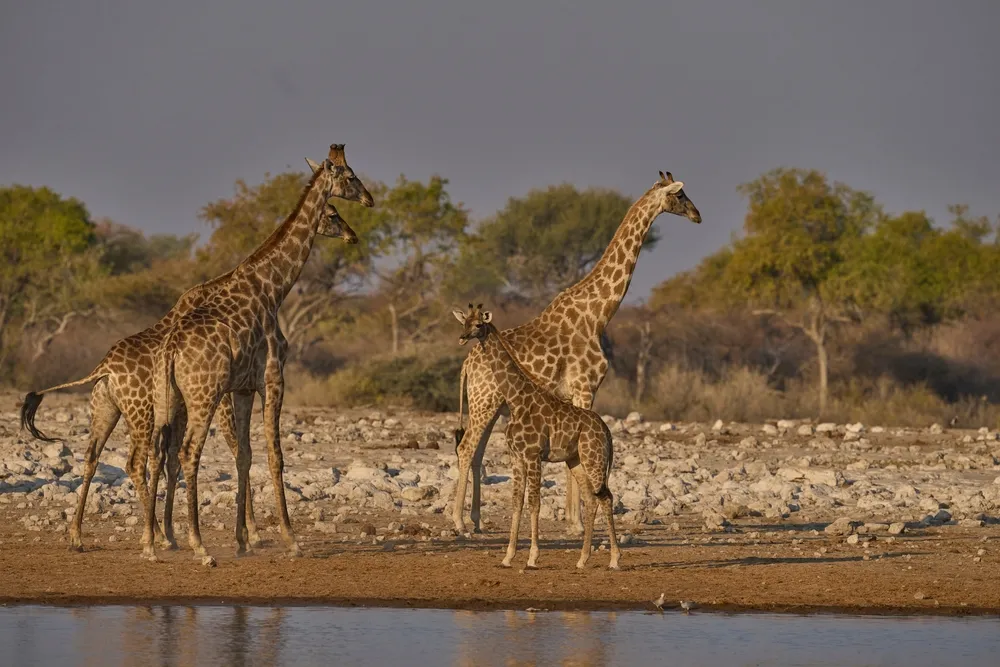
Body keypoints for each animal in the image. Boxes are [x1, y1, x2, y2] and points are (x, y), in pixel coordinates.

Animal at [19, 182, 361, 555]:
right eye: (333, 213)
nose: (351, 234)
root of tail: (103, 369)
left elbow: (183, 458)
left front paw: (200, 533)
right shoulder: (227, 394)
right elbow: (232, 451)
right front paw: (249, 534)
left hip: (106, 410)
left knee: (95, 456)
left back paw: (80, 536)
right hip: (141, 413)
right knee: (136, 462)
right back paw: (154, 535)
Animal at [148, 143, 373, 563]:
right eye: (350, 177)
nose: (369, 201)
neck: (274, 287)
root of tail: (169, 348)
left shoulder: (241, 387)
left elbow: (244, 455)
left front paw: (243, 539)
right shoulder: (272, 378)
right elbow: (274, 455)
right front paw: (290, 538)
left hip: (169, 398)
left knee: (160, 451)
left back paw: (152, 542)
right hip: (203, 396)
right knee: (187, 452)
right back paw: (198, 545)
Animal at [452, 171, 701, 535]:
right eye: (681, 195)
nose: (698, 215)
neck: (599, 313)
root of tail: (467, 365)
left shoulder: (573, 394)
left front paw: (574, 520)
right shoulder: (586, 387)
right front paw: (578, 523)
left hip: (490, 403)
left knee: (477, 450)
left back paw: (475, 519)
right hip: (485, 400)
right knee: (466, 447)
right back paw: (457, 520)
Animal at [454, 304, 621, 570]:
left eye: (478, 324)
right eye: (464, 322)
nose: (462, 337)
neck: (516, 399)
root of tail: (606, 430)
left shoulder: (533, 455)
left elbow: (534, 503)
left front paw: (532, 556)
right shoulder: (516, 456)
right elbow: (516, 502)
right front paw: (508, 556)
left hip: (594, 458)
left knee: (606, 497)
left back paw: (615, 559)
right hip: (575, 460)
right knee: (591, 497)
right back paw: (582, 559)